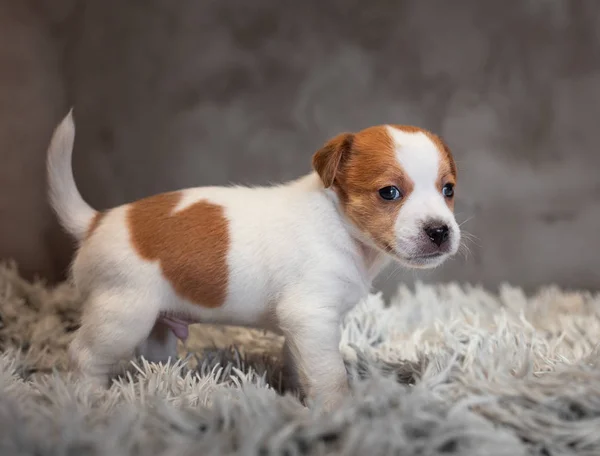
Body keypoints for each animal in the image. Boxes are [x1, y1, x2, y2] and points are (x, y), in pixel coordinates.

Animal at [47, 111, 460, 410]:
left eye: (448, 190)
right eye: (389, 193)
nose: (440, 230)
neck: (339, 224)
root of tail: (97, 221)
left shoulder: (304, 327)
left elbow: (299, 364)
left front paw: (295, 394)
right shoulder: (311, 317)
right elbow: (330, 374)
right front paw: (339, 412)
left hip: (156, 323)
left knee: (153, 355)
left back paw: (170, 383)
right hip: (122, 316)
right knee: (83, 354)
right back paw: (91, 397)